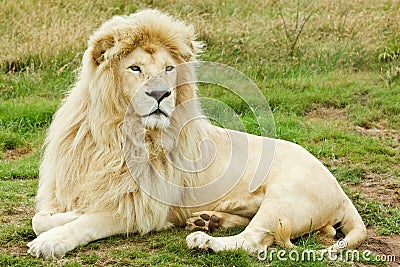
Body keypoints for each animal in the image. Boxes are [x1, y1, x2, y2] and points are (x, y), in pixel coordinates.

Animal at [27, 8, 366, 260]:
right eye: (135, 68)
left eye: (169, 68)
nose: (161, 94)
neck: (115, 135)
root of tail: (341, 193)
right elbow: (40, 218)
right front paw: (60, 219)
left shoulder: (142, 209)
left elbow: (89, 221)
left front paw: (51, 241)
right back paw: (210, 220)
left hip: (284, 198)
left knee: (253, 241)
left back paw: (204, 240)